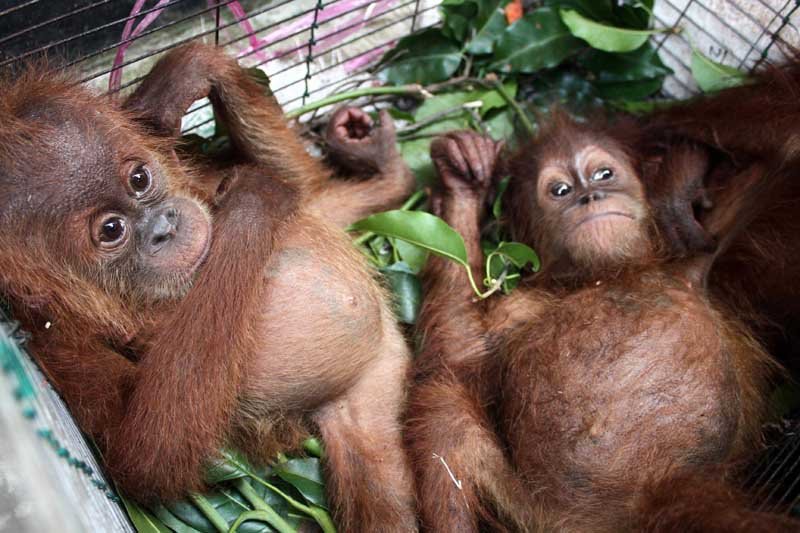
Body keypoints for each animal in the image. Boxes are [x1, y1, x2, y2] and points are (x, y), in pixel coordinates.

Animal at [0, 43, 418, 532]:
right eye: (111, 230)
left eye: (139, 179)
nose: (165, 226)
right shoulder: (55, 338)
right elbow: (148, 453)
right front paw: (253, 201)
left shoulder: (193, 177)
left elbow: (300, 187)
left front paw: (170, 89)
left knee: (317, 201)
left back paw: (385, 169)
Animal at [403, 119, 799, 531]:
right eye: (561, 190)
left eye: (603, 174)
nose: (590, 196)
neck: (608, 274)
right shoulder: (517, 309)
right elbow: (461, 348)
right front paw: (463, 184)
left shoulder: (701, 253)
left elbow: (781, 156)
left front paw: (677, 185)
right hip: (537, 514)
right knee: (445, 410)